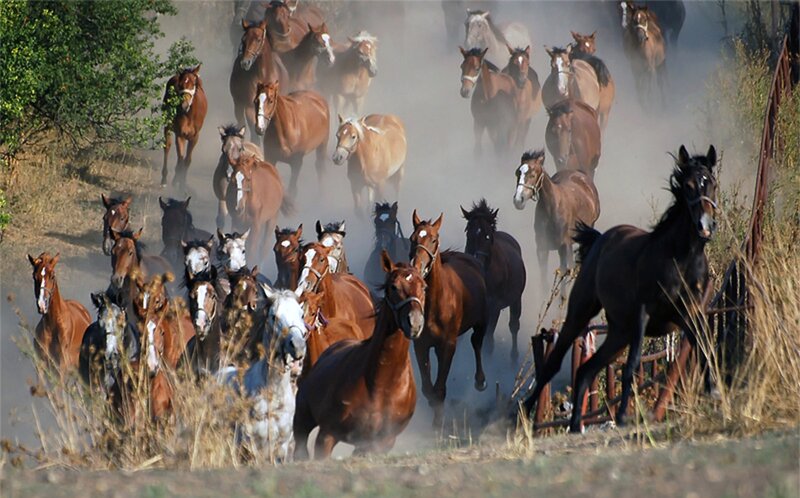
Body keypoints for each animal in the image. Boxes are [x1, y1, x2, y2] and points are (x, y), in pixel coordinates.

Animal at [294, 254, 424, 459]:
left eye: (424, 286)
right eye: (393, 286)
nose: (415, 322)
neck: (381, 383)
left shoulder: (380, 443)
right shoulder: (328, 434)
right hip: (302, 419)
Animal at [408, 211, 489, 426]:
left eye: (434, 239)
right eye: (413, 239)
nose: (417, 267)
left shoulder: (448, 344)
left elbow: (439, 389)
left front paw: (438, 423)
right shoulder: (421, 344)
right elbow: (428, 388)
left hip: (482, 322)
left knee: (477, 343)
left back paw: (480, 380)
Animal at [461, 200, 526, 360]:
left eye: (488, 236)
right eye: (469, 234)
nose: (477, 261)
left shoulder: (494, 306)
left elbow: (488, 339)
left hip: (516, 299)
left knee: (514, 325)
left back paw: (514, 356)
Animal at [512, 150, 600, 293]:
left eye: (533, 174)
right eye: (517, 173)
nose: (518, 200)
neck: (552, 210)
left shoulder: (564, 247)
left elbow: (564, 277)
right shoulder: (542, 248)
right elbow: (544, 280)